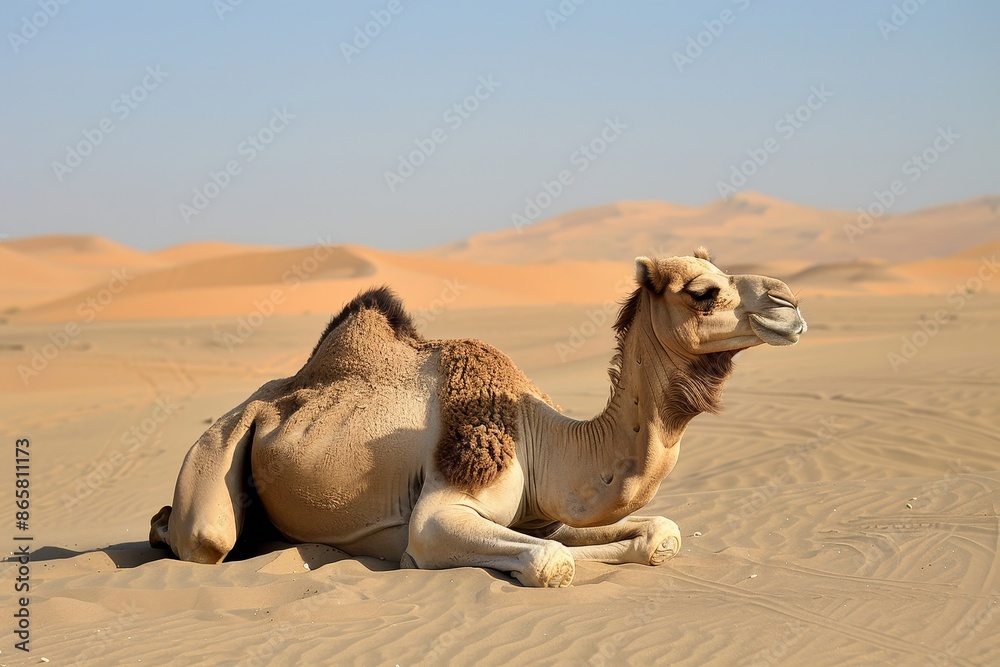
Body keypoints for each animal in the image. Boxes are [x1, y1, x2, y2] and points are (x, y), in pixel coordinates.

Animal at [150, 249, 806, 587]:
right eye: (701, 292)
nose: (790, 304)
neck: (546, 442)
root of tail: (263, 396)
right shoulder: (442, 510)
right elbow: (550, 561)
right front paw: (413, 560)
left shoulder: (544, 511)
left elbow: (655, 534)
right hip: (218, 448)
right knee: (206, 536)